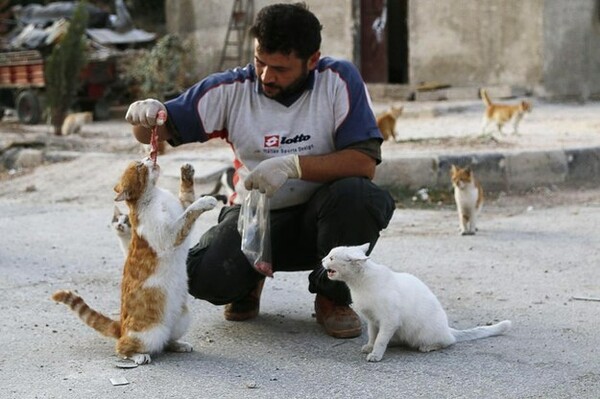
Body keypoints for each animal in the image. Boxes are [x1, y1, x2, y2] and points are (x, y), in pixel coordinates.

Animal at [51, 158, 216, 368]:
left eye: (142, 160)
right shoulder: (170, 235)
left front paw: (186, 172)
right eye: (139, 166)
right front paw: (205, 201)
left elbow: (187, 198)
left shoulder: (179, 208)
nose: (150, 158)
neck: (155, 195)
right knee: (123, 348)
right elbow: (189, 212)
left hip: (182, 320)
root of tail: (121, 326)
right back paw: (139, 356)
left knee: (166, 342)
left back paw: (178, 344)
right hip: (150, 333)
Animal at [324, 245, 510, 364]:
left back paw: (428, 347)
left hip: (425, 333)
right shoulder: (372, 320)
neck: (359, 285)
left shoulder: (389, 320)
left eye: (331, 257)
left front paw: (375, 354)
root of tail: (447, 327)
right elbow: (373, 335)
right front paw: (369, 347)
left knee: (449, 341)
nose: (322, 259)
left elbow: (380, 340)